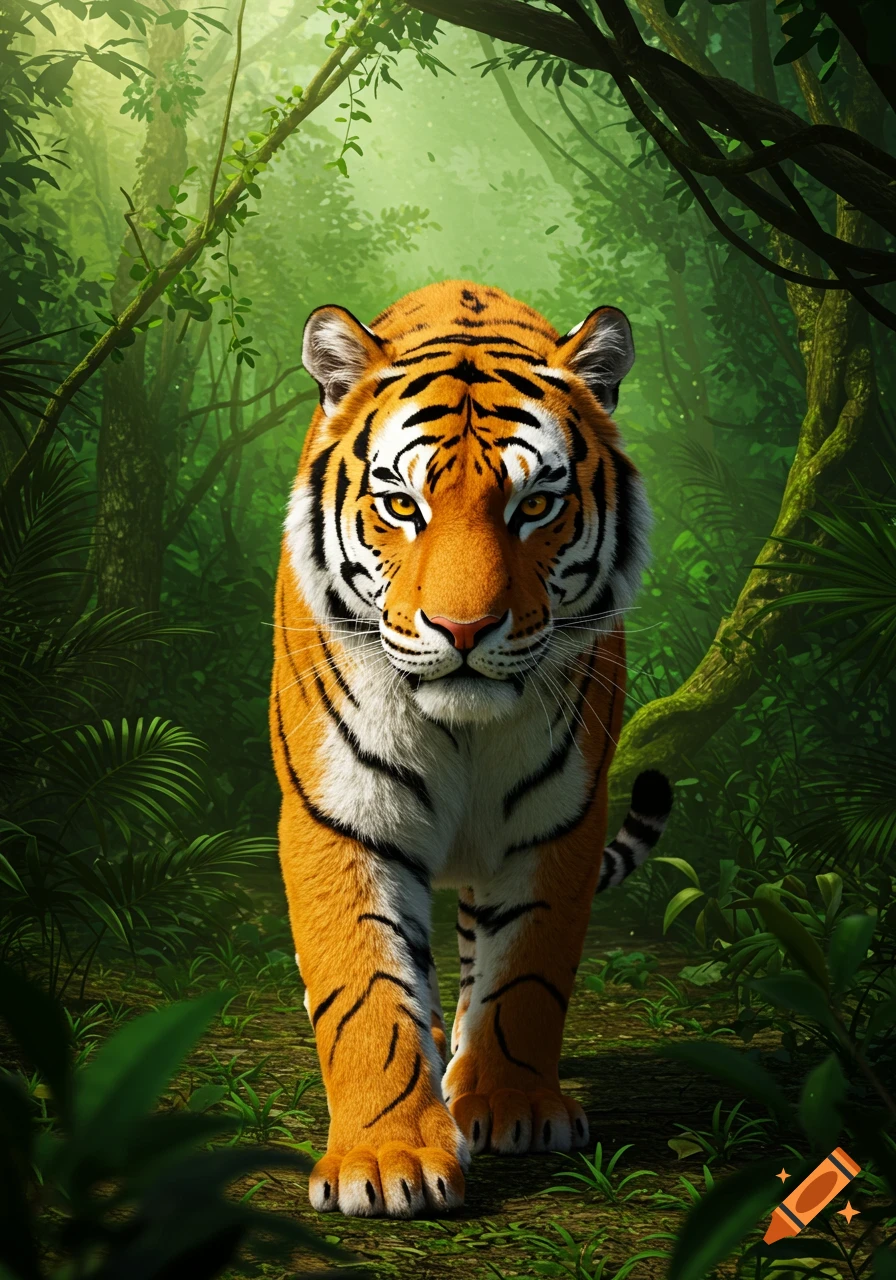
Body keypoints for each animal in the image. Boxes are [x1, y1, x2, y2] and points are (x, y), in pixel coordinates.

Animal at [270, 279, 672, 1220]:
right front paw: (387, 1160)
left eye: (535, 506)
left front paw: (513, 1106)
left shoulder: (560, 821)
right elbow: (364, 989)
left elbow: (526, 974)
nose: (461, 630)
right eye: (400, 505)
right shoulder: (337, 816)